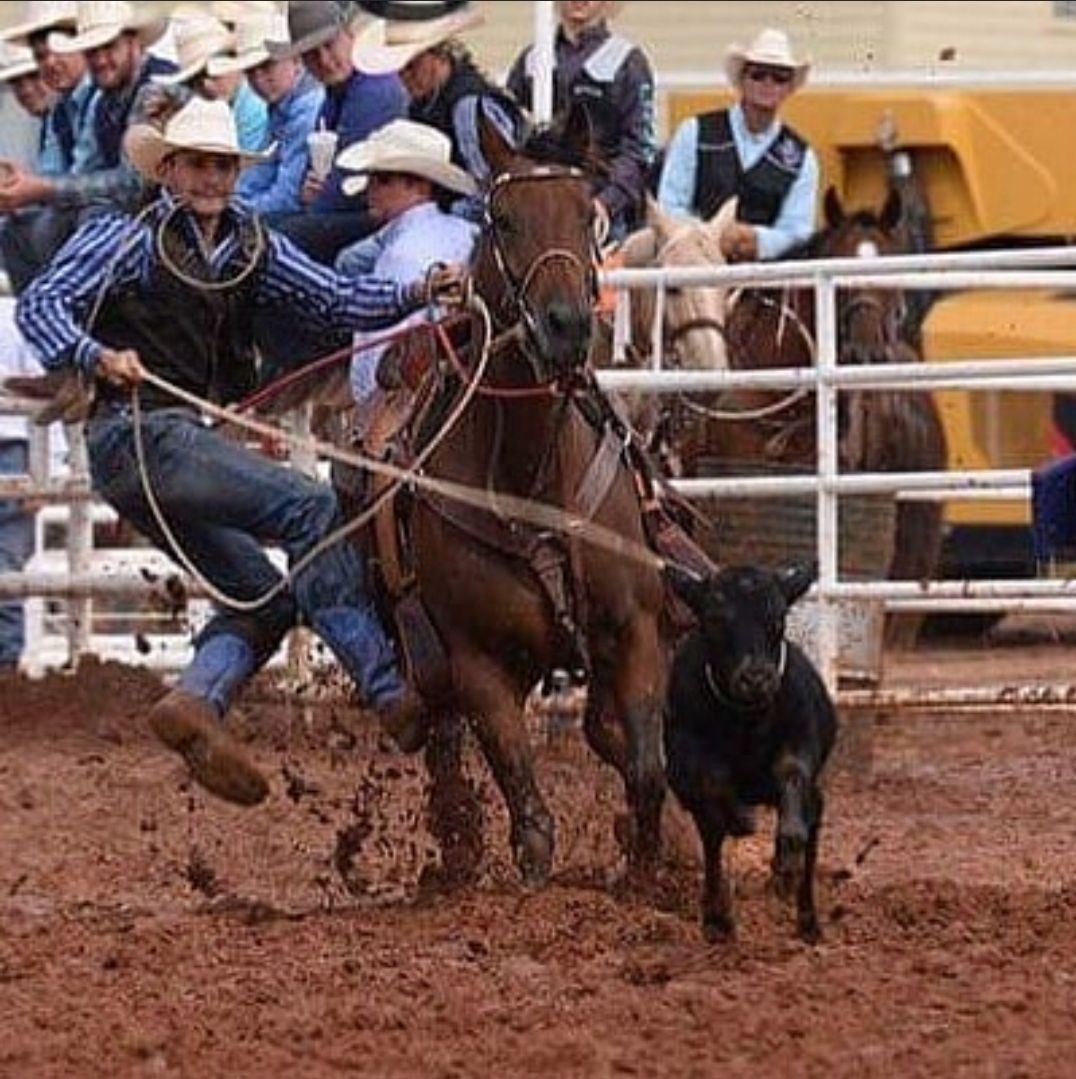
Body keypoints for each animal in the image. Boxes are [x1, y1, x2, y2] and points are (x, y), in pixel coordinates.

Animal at [399, 110, 669, 885]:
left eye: (589, 214)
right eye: (504, 219)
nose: (567, 324)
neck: (530, 476)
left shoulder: (637, 629)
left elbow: (647, 769)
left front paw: (648, 879)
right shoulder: (478, 663)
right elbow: (531, 820)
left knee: (611, 735)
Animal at [663, 561, 837, 944]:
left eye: (778, 617)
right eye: (715, 618)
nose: (757, 678)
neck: (747, 721)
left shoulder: (801, 738)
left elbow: (792, 771)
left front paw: (787, 850)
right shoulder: (684, 765)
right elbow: (713, 787)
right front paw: (742, 819)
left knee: (812, 820)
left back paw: (803, 910)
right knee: (712, 838)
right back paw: (717, 918)